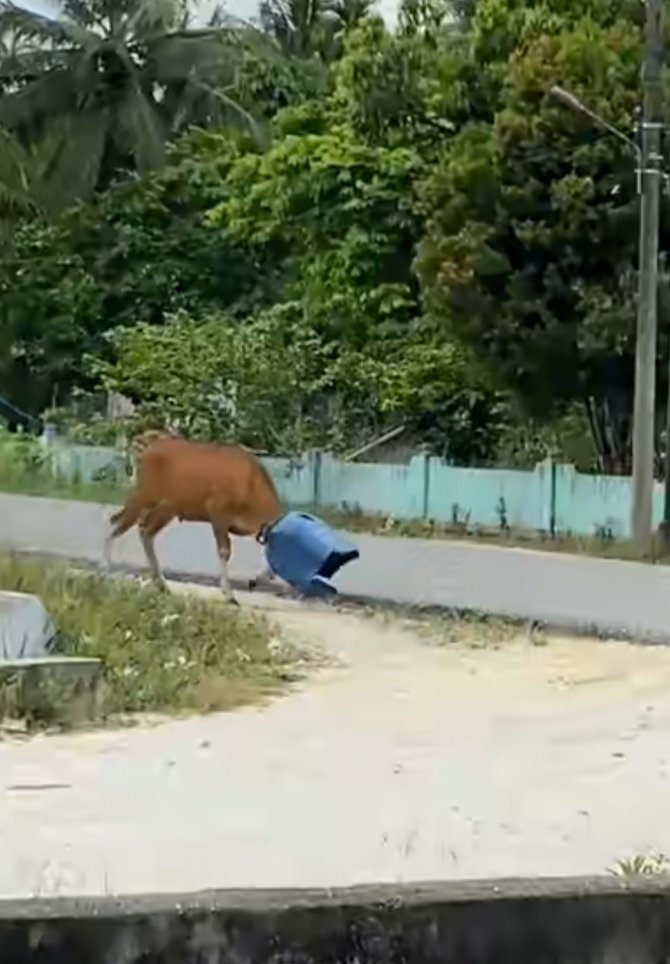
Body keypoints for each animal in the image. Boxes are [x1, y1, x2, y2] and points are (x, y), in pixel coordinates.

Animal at [104, 432, 280, 604]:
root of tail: (150, 444)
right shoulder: (218, 514)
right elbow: (224, 551)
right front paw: (229, 593)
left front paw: (256, 578)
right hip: (144, 496)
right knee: (116, 522)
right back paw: (108, 571)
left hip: (167, 508)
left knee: (146, 532)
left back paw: (161, 584)